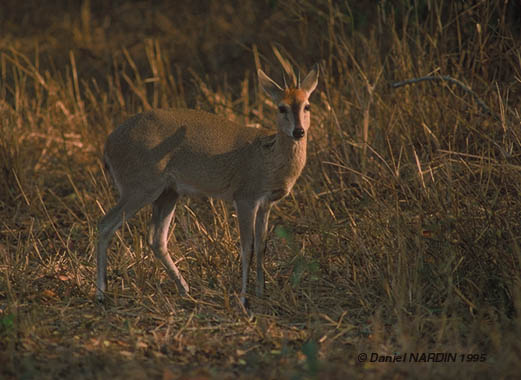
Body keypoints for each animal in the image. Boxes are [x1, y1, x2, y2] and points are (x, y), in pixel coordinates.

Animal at [95, 64, 318, 306]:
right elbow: (246, 247)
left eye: (307, 105)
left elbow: (261, 246)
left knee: (156, 238)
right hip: (139, 186)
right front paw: (243, 298)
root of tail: (107, 145)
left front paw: (260, 293)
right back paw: (100, 293)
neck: (269, 157)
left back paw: (185, 290)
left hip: (168, 192)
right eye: (281, 107)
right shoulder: (244, 197)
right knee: (105, 224)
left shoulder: (266, 202)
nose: (298, 131)